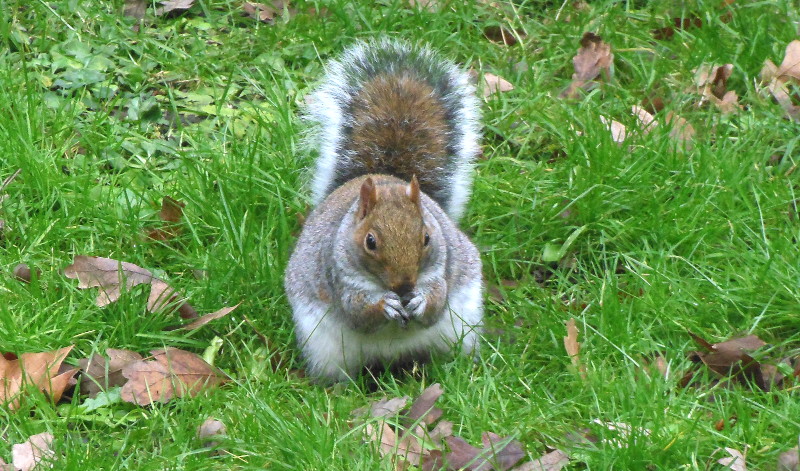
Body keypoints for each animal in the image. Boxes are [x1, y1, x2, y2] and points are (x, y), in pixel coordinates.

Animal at [284, 40, 484, 384]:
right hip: (325, 347)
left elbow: (437, 301)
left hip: (462, 326)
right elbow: (358, 314)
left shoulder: (442, 267)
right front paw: (385, 307)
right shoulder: (337, 277)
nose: (404, 287)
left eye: (427, 237)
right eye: (370, 242)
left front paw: (420, 301)